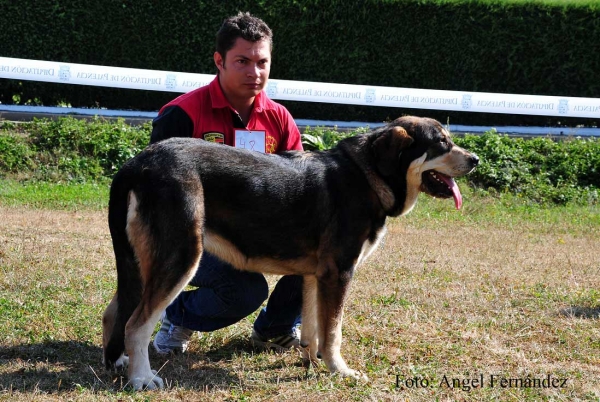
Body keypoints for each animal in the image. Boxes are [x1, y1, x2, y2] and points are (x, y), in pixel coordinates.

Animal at [102, 114, 478, 390]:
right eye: (441, 142)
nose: (475, 160)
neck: (366, 176)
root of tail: (136, 163)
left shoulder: (316, 276)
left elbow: (315, 330)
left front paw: (313, 362)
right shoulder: (339, 273)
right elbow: (334, 332)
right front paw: (340, 370)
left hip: (140, 265)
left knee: (114, 312)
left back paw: (118, 362)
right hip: (180, 259)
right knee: (136, 324)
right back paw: (141, 378)